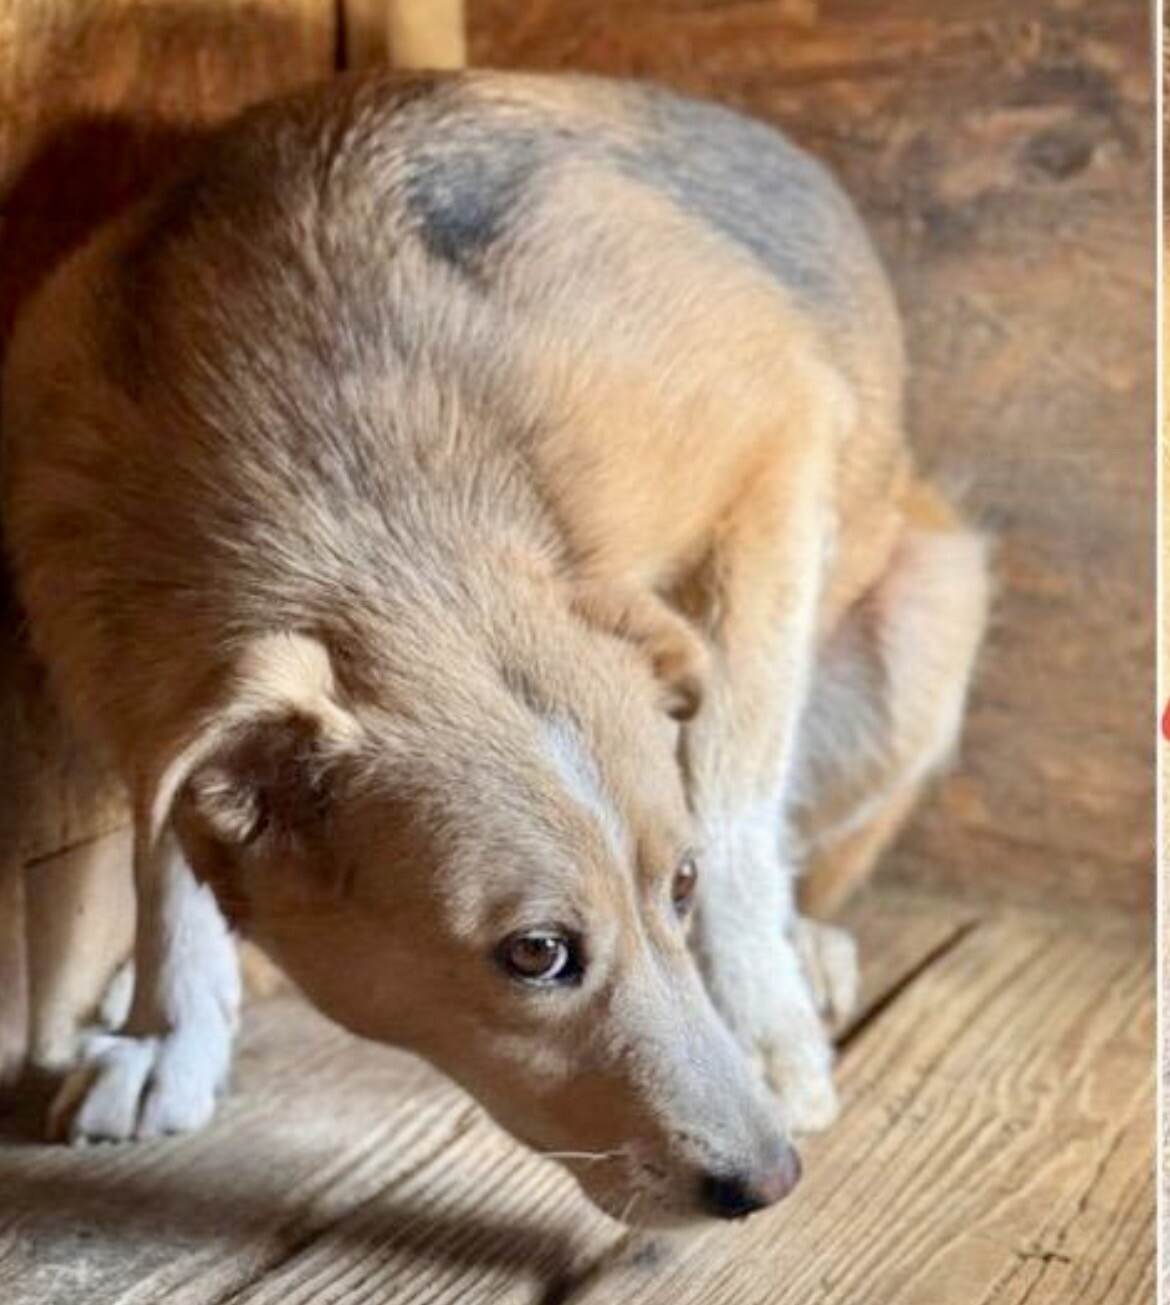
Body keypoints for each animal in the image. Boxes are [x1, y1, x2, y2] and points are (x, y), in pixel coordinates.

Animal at [0, 70, 988, 1226]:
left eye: (679, 885)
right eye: (538, 954)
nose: (771, 1180)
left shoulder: (774, 458)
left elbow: (736, 793)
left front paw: (757, 1018)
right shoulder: (140, 662)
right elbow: (164, 847)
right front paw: (169, 1027)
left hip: (930, 615)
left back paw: (810, 953)